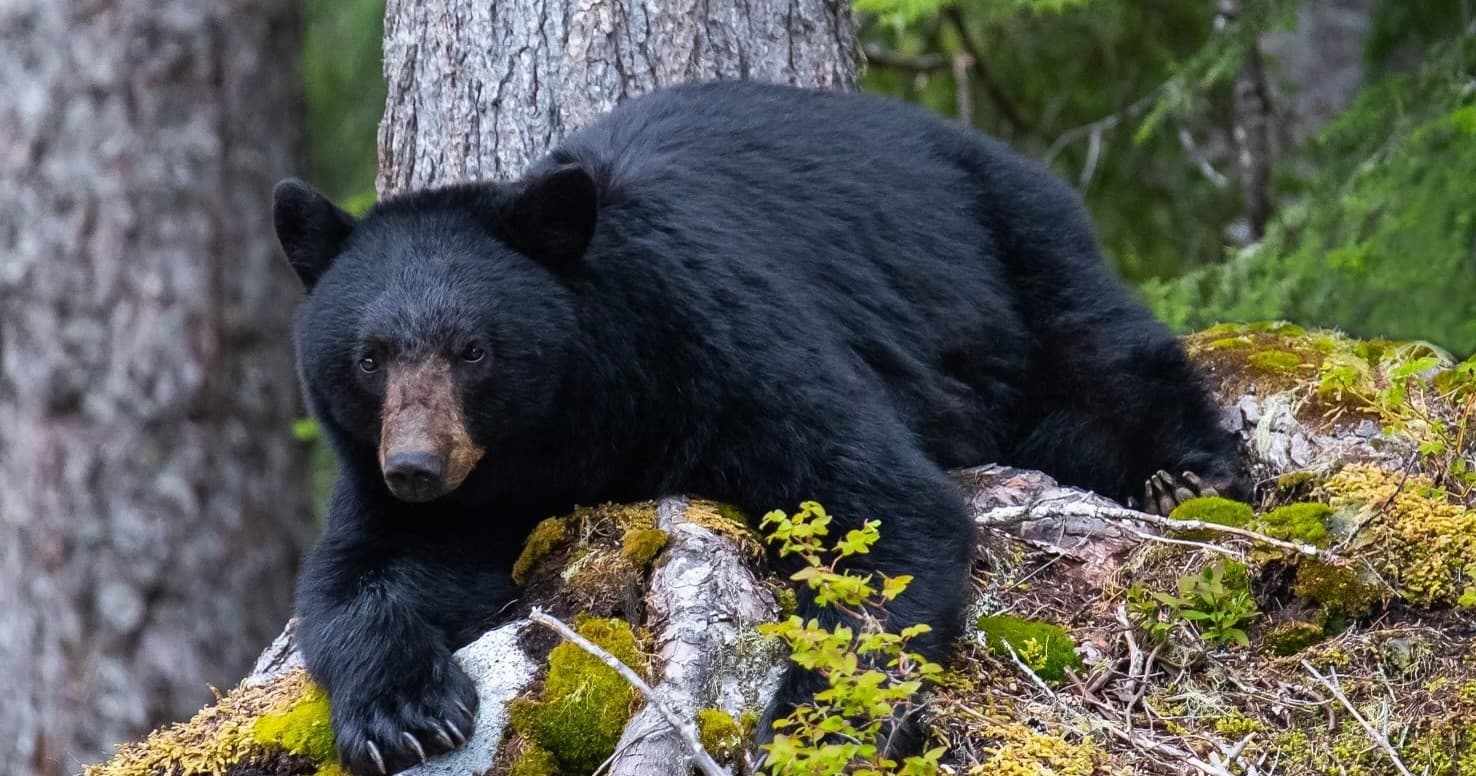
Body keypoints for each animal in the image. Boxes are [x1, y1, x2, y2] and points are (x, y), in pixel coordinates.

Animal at [273, 80, 1242, 775]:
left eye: (472, 348)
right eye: (370, 357)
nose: (416, 466)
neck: (571, 415)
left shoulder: (716, 338)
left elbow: (877, 504)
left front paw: (811, 726)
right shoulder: (448, 479)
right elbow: (359, 571)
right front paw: (404, 713)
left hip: (1009, 239)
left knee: (1099, 343)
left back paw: (1187, 474)